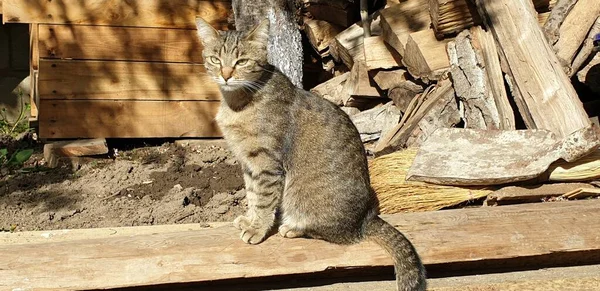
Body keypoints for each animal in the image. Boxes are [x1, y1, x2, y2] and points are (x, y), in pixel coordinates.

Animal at [195, 17, 424, 290]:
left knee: (337, 235)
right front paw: (250, 219)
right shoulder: (249, 163)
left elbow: (263, 199)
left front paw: (257, 228)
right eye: (215, 59)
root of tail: (365, 219)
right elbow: (251, 195)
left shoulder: (266, 163)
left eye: (242, 61)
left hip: (307, 203)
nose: (226, 75)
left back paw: (292, 228)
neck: (237, 102)